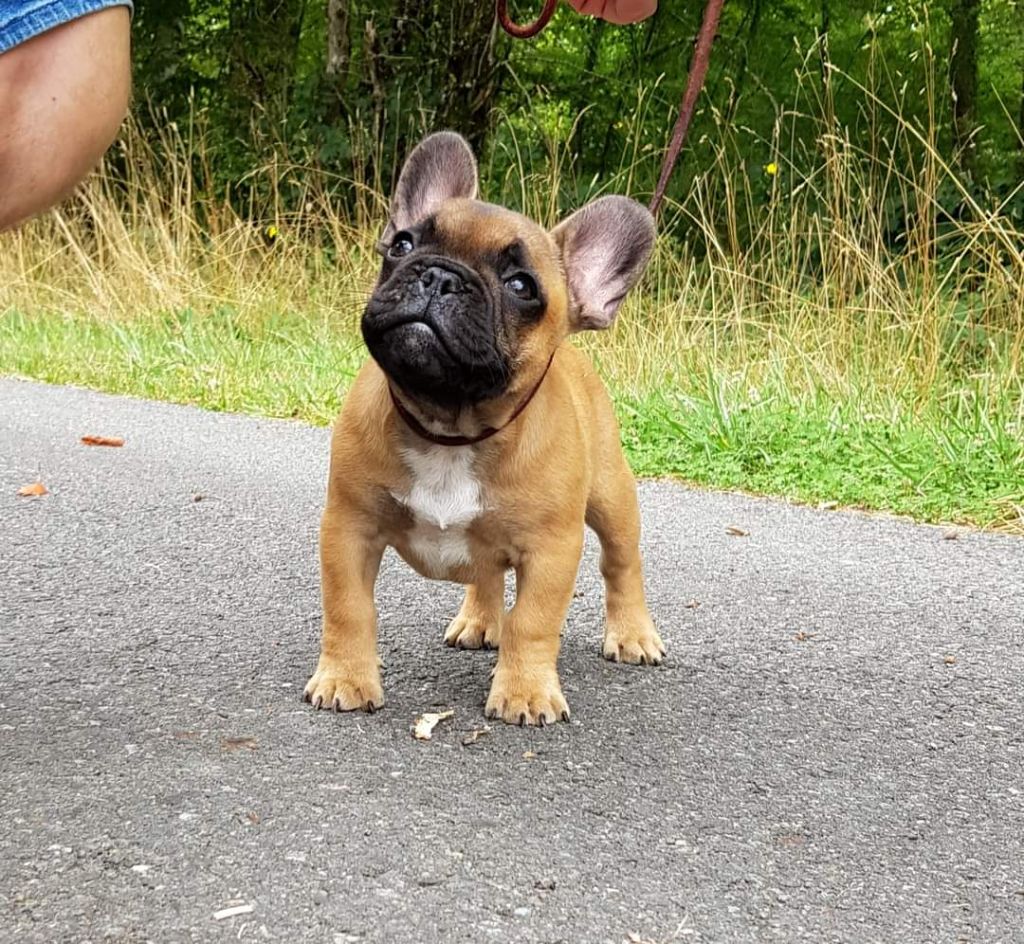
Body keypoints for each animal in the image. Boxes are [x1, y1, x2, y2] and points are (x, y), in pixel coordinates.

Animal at [303, 130, 667, 720]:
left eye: (521, 285)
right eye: (402, 244)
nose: (440, 275)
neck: (451, 427)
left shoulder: (551, 550)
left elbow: (534, 622)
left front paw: (524, 691)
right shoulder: (348, 528)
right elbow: (348, 608)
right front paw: (345, 679)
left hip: (613, 497)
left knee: (622, 563)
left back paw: (633, 633)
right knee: (487, 571)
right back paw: (478, 619)